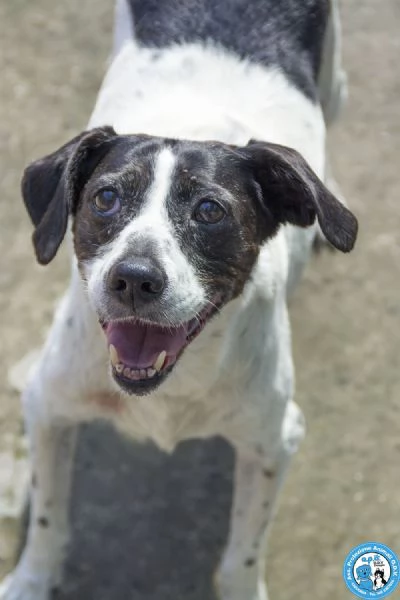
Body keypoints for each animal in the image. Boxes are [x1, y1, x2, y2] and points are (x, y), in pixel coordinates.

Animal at [0, 1, 356, 600]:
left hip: (330, 74)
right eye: (105, 197)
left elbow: (243, 555)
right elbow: (49, 519)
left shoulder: (274, 440)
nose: (134, 279)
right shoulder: (47, 405)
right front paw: (31, 581)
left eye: (210, 210)